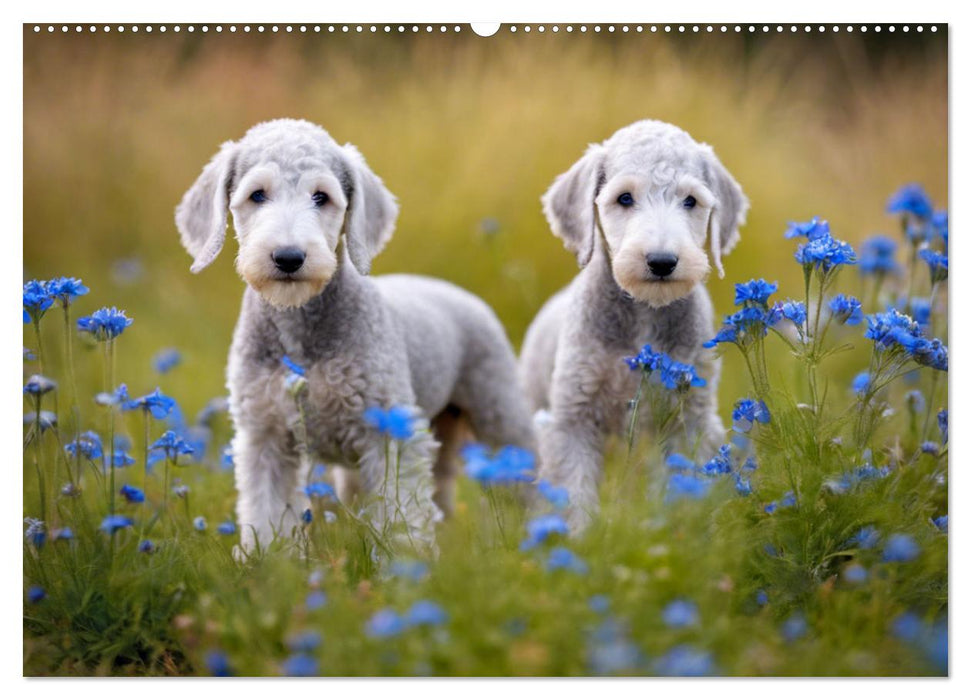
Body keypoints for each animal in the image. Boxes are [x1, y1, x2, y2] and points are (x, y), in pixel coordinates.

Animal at [178, 117, 536, 552]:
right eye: (256, 194)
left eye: (321, 196)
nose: (289, 257)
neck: (300, 330)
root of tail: (455, 291)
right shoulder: (265, 437)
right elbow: (265, 514)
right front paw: (266, 562)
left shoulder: (391, 435)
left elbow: (401, 517)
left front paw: (404, 564)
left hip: (499, 409)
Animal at [520, 120, 748, 532]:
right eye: (624, 198)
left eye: (691, 201)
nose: (662, 261)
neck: (644, 314)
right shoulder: (572, 420)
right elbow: (573, 495)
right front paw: (576, 540)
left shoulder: (689, 420)